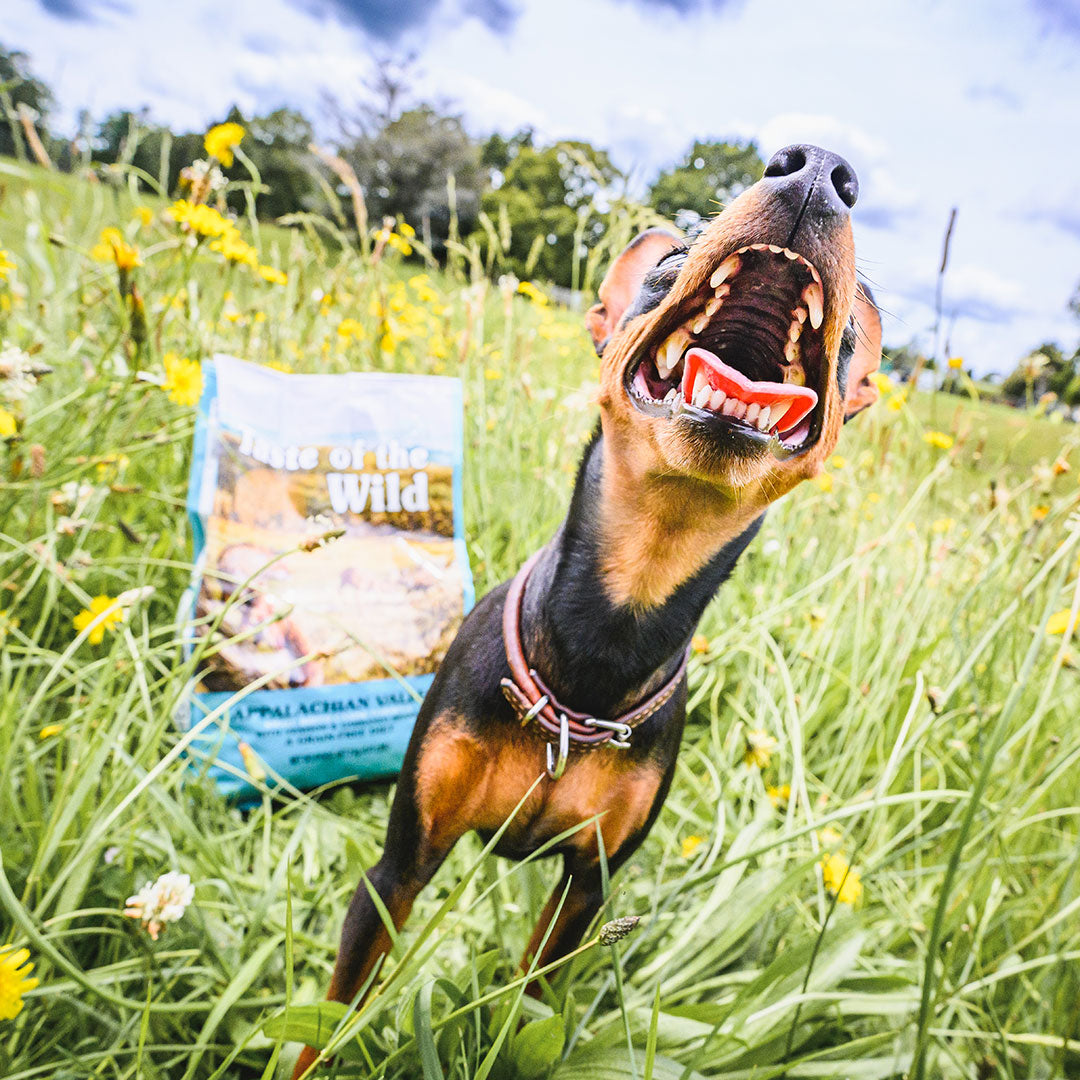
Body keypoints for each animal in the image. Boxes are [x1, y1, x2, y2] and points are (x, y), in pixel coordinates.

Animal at [291, 141, 881, 1071]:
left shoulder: (587, 889)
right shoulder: (398, 868)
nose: (819, 167)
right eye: (668, 268)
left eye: (850, 337)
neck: (609, 630)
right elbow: (331, 1013)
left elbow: (531, 998)